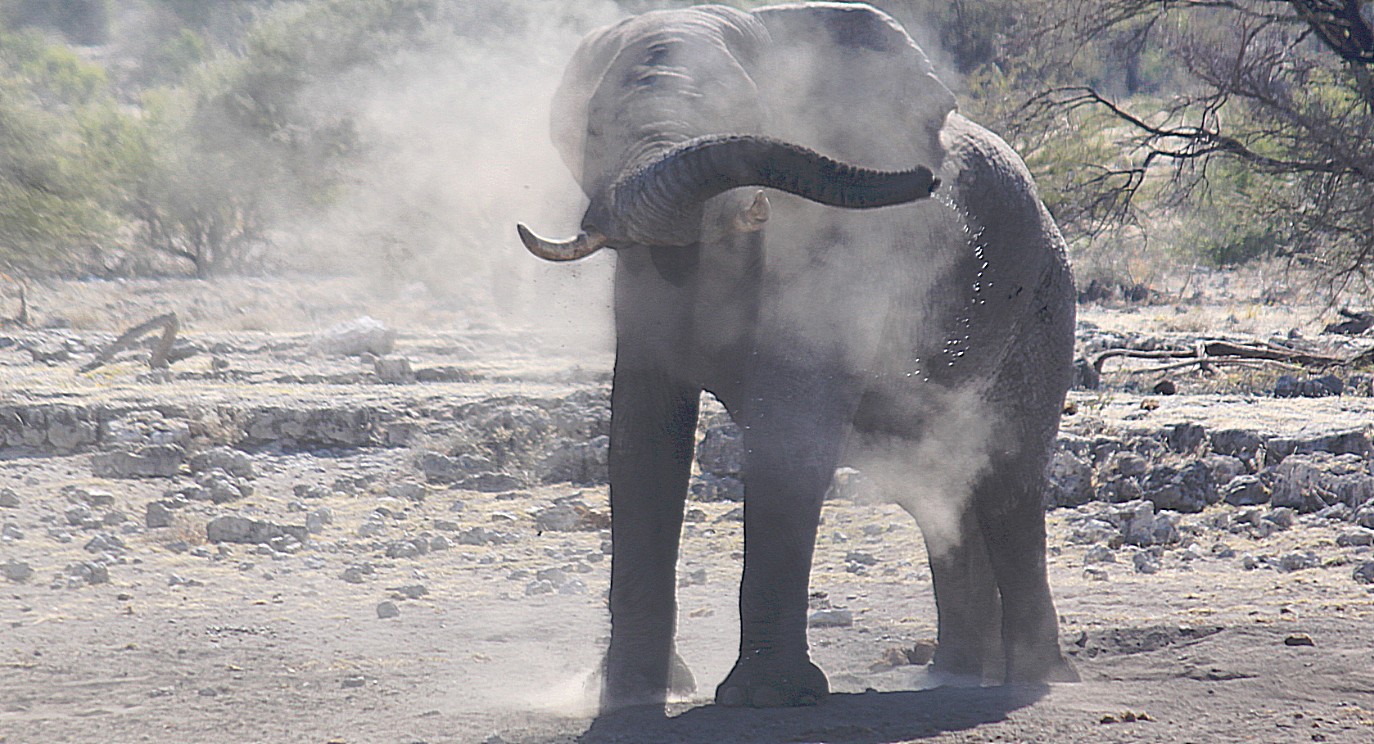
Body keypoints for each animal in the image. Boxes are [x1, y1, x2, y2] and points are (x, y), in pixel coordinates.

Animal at [516, 2, 1082, 709]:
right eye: (592, 132)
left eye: (741, 112)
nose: (928, 180)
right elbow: (643, 436)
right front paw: (629, 697)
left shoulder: (845, 257)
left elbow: (789, 426)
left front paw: (767, 698)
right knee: (939, 489)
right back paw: (949, 674)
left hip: (1043, 303)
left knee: (1008, 481)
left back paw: (1036, 677)